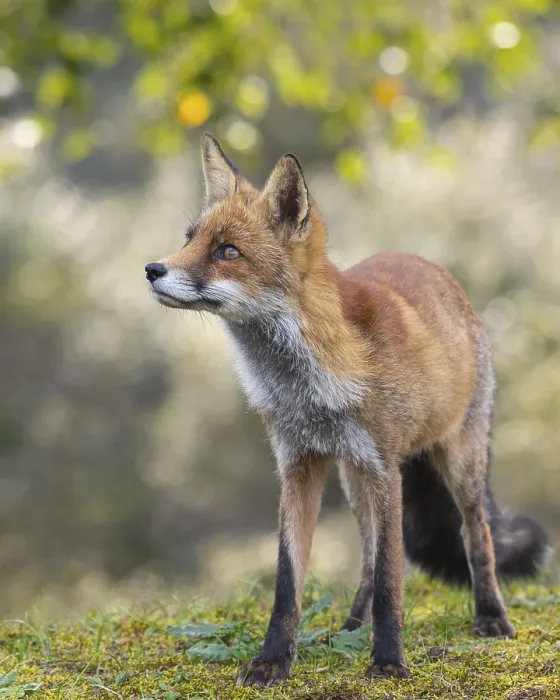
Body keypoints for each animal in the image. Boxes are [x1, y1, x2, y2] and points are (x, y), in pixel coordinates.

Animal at [146, 133, 548, 685]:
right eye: (189, 238)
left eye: (228, 252)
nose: (152, 270)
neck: (309, 386)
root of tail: (435, 268)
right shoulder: (298, 465)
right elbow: (288, 582)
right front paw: (274, 661)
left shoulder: (385, 469)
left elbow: (392, 582)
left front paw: (389, 661)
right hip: (355, 481)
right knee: (366, 560)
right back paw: (351, 628)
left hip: (456, 464)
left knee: (475, 535)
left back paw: (490, 617)